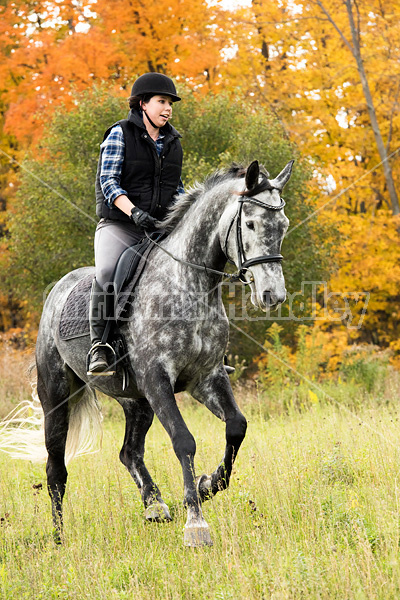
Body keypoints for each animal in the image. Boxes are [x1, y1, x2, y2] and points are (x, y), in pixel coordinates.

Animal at [32, 158, 294, 544]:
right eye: (250, 224)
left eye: (283, 226)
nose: (272, 295)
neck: (189, 286)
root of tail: (58, 291)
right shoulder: (158, 379)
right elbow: (184, 441)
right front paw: (197, 524)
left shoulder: (207, 377)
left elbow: (236, 427)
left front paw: (206, 484)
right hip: (56, 394)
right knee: (55, 467)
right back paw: (59, 537)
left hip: (136, 401)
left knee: (129, 452)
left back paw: (154, 506)